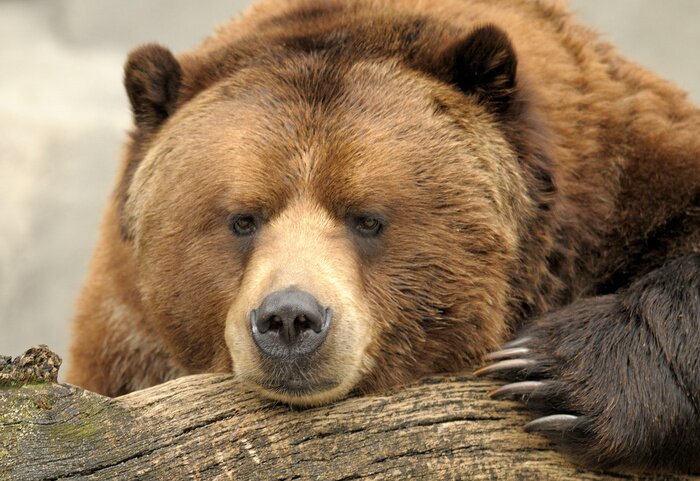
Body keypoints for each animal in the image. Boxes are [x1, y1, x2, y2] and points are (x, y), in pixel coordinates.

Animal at [67, 0, 700, 472]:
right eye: (243, 218)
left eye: (367, 218)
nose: (290, 319)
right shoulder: (122, 339)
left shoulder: (619, 181)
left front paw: (550, 375)